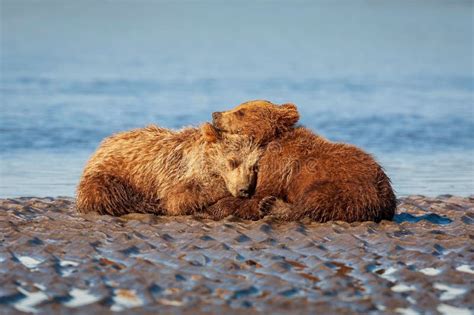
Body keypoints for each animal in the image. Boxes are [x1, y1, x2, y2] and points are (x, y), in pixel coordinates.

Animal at [77, 123, 262, 217]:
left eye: (253, 166)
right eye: (232, 161)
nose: (244, 189)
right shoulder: (172, 175)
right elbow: (178, 200)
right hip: (107, 174)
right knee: (110, 193)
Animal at [207, 100, 396, 222]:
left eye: (241, 111)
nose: (215, 114)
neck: (268, 141)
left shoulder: (279, 162)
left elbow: (260, 194)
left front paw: (217, 206)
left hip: (349, 186)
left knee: (315, 200)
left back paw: (272, 206)